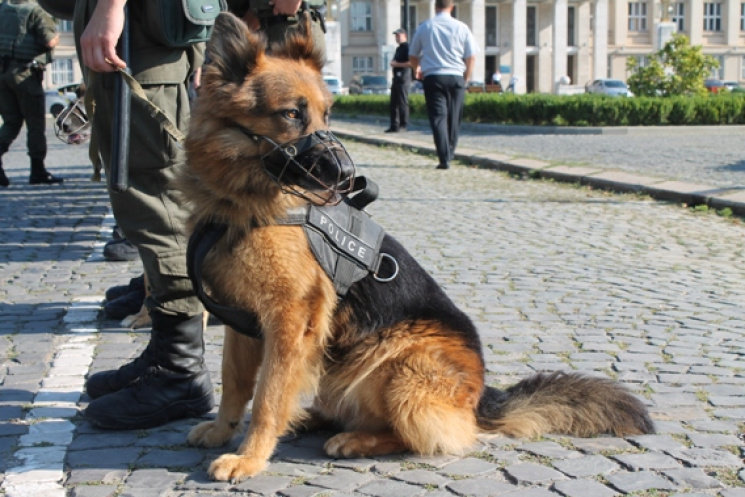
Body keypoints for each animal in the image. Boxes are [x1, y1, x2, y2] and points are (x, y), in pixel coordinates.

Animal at [182, 14, 652, 480]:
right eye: (292, 114)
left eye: (327, 114)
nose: (346, 174)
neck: (246, 204)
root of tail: (482, 399)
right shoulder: (244, 321)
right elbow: (235, 382)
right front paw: (223, 431)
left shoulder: (290, 323)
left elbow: (269, 396)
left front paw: (250, 455)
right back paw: (313, 418)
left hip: (397, 360)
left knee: (417, 434)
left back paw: (354, 439)